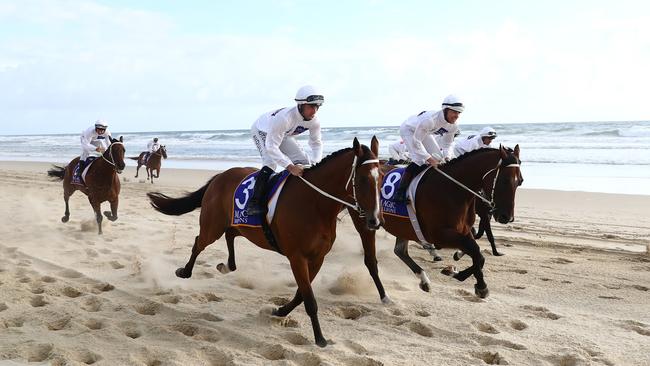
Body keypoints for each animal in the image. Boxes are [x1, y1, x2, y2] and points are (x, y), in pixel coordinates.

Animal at [146, 137, 384, 346]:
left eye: (381, 177)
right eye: (363, 179)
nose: (375, 220)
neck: (314, 204)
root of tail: (220, 176)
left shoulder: (317, 258)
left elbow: (301, 294)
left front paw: (280, 311)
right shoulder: (297, 257)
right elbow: (309, 299)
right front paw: (320, 339)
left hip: (241, 226)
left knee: (230, 235)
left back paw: (227, 265)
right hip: (212, 226)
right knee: (198, 242)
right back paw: (185, 271)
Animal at [346, 146, 520, 300]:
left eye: (520, 182)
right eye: (505, 180)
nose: (506, 216)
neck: (452, 190)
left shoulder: (464, 230)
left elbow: (478, 255)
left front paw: (459, 273)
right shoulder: (439, 235)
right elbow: (477, 253)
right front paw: (477, 284)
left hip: (402, 226)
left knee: (400, 251)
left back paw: (424, 279)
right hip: (367, 221)